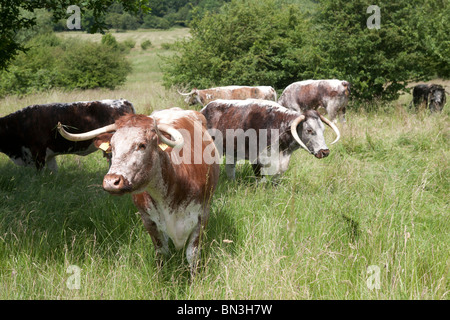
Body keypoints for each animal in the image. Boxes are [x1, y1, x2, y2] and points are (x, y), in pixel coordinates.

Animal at [58, 107, 220, 276]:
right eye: (112, 146)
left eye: (142, 145)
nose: (111, 181)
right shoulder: (148, 220)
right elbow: (161, 252)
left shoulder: (203, 215)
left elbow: (192, 254)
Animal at [201, 99, 342, 180]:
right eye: (309, 130)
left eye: (323, 130)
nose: (325, 151)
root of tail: (204, 109)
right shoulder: (256, 159)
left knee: (230, 169)